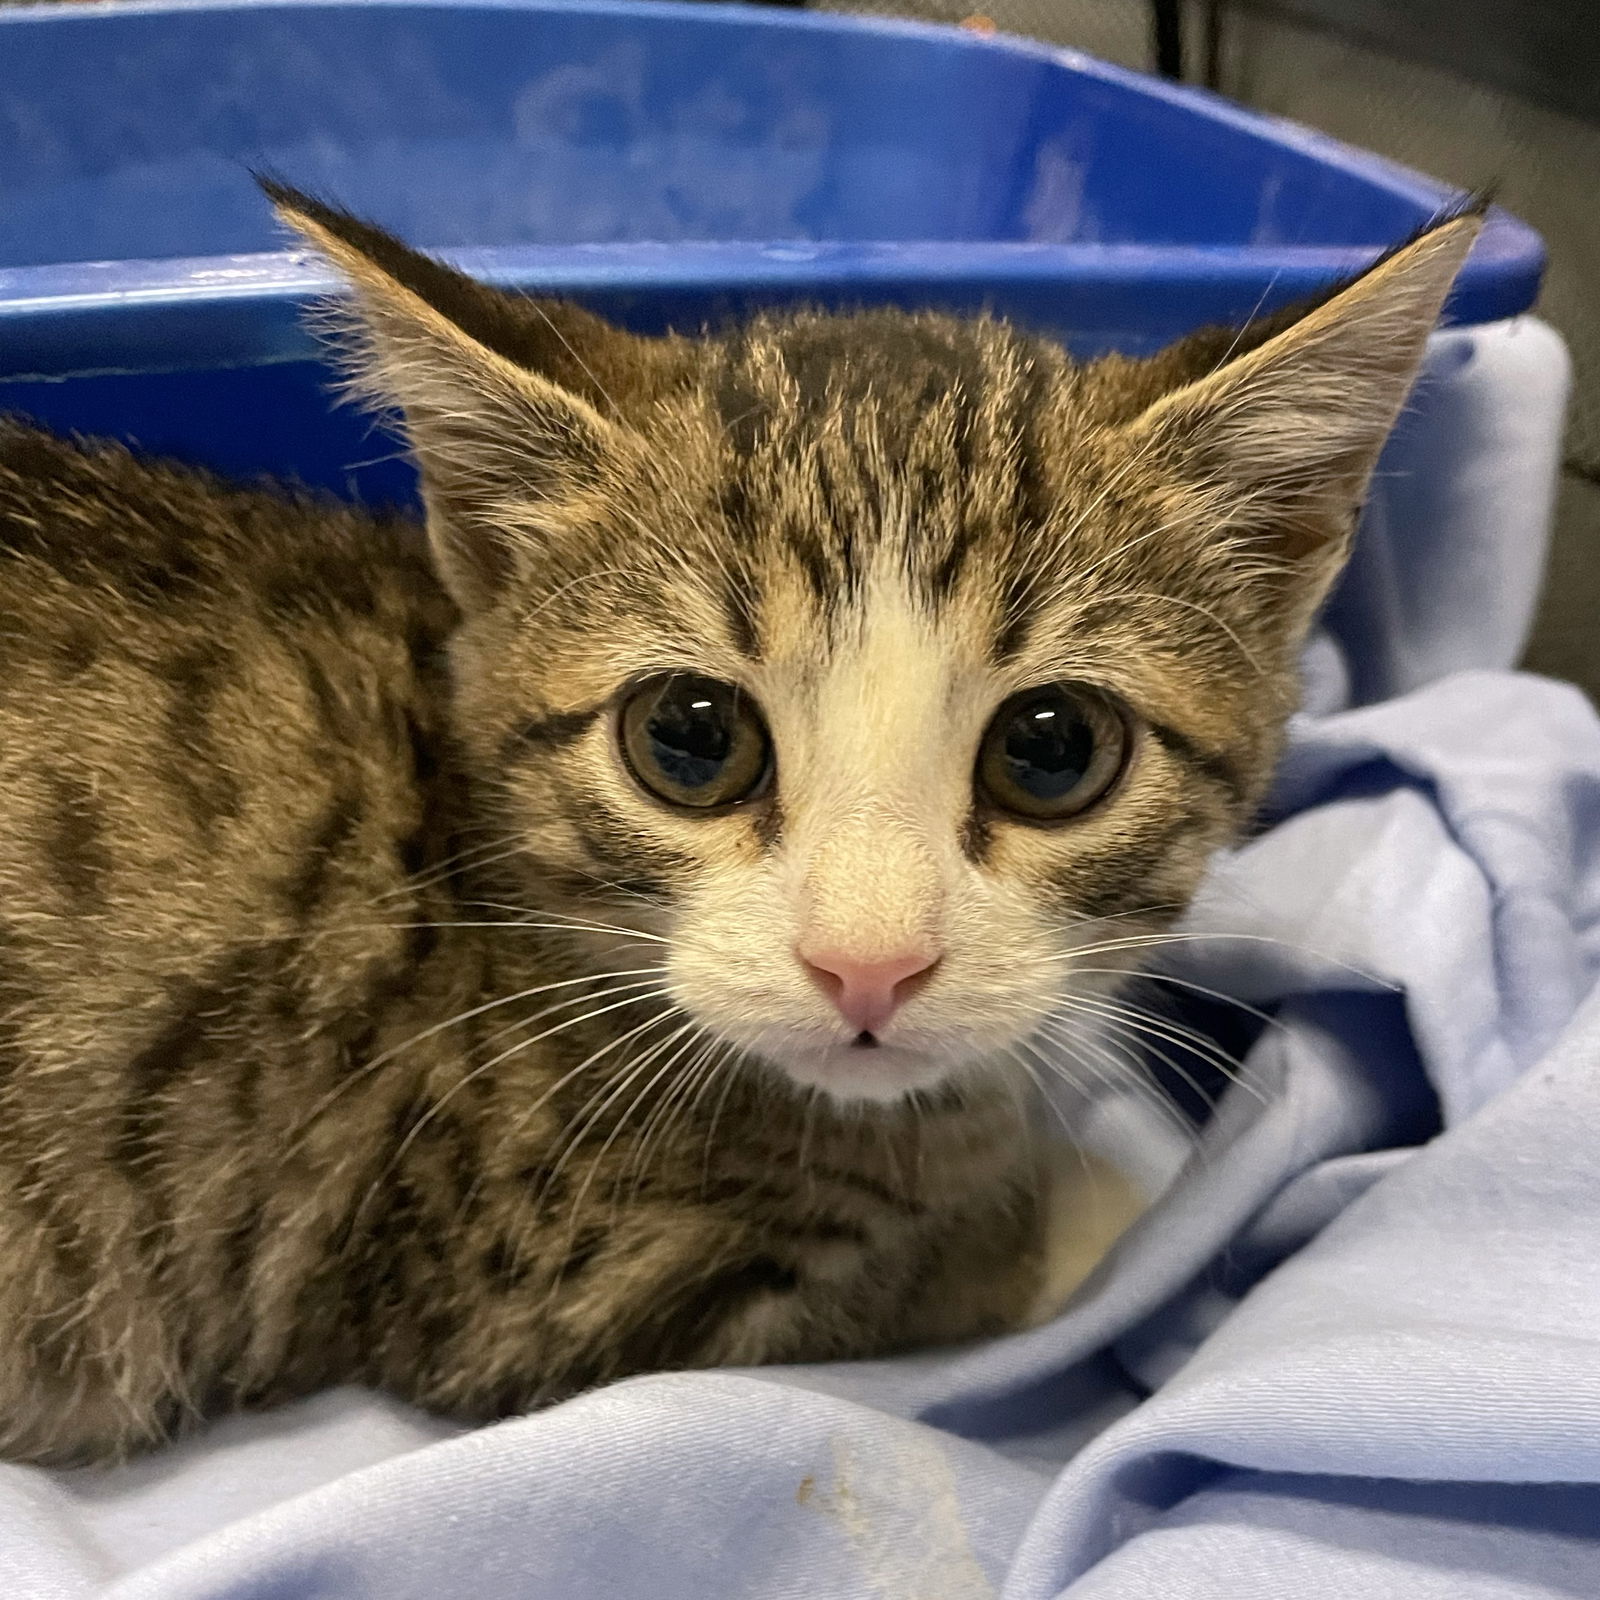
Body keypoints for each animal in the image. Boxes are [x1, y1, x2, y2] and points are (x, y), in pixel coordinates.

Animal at [0, 184, 1472, 1465]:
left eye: (1053, 751)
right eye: (690, 738)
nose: (869, 966)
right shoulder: (528, 1291)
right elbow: (961, 1264)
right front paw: (1092, 1210)